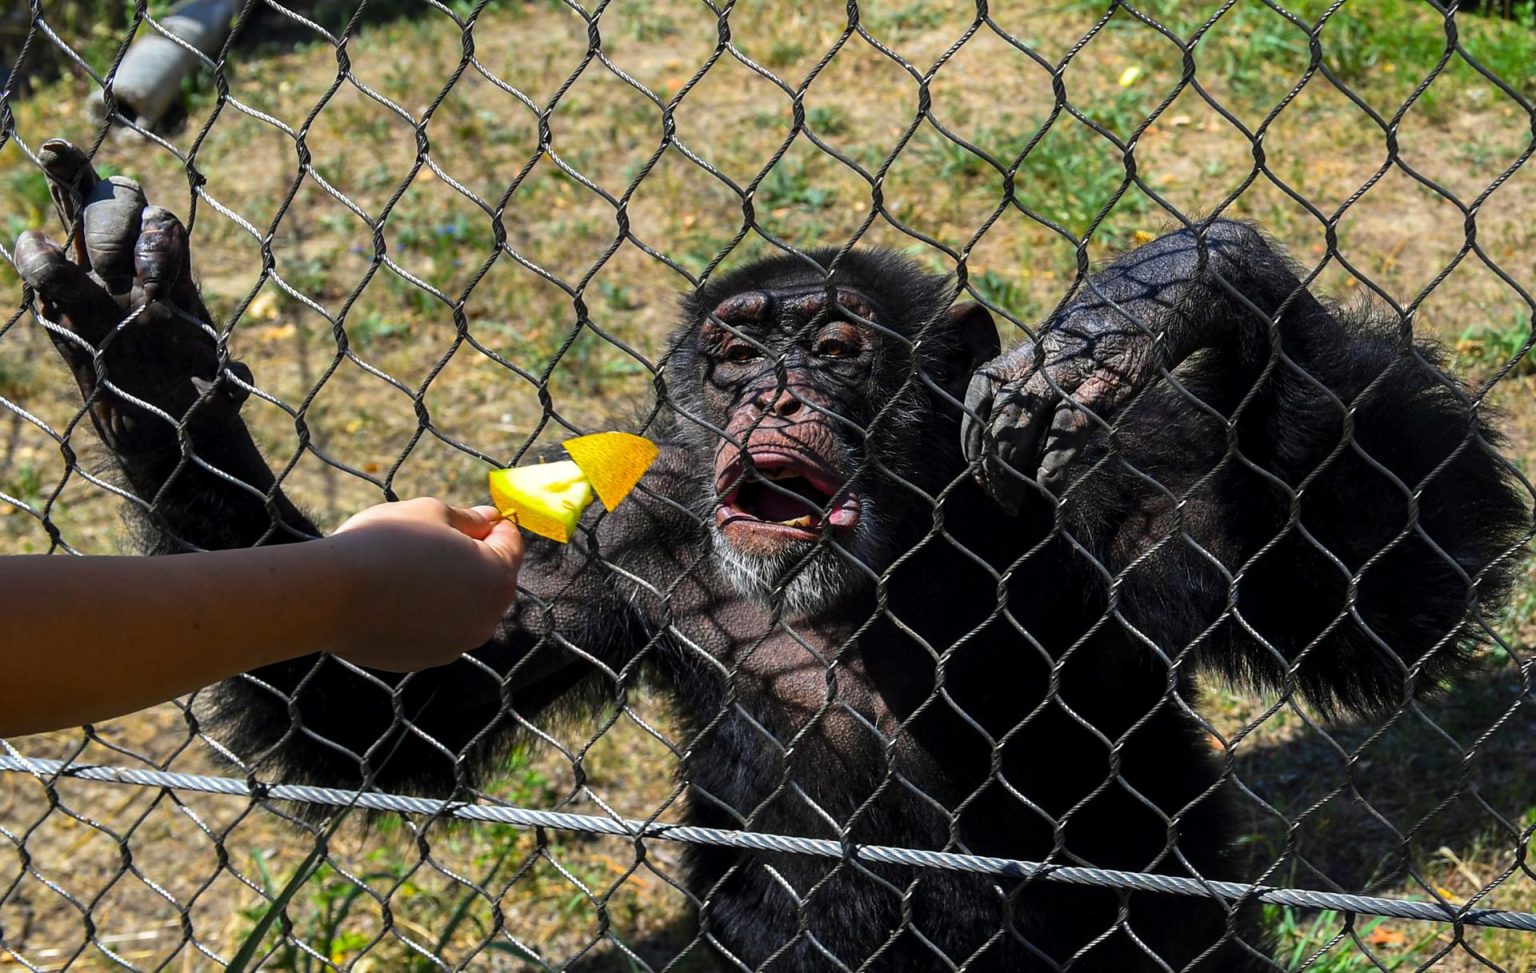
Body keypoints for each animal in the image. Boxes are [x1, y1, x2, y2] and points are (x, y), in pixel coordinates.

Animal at [14, 138, 1536, 971]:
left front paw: (1185, 290)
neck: (903, 559)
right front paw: (144, 348)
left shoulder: (1127, 490)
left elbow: (1377, 592)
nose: (774, 395)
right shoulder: (612, 561)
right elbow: (368, 708)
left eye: (838, 346)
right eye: (738, 353)